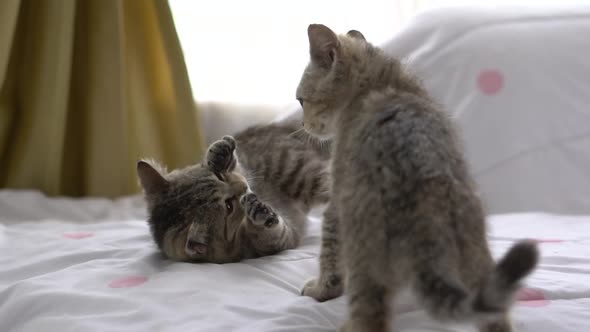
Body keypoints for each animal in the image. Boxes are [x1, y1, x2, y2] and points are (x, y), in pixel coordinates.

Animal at [139, 118, 332, 264]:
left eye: (219, 176)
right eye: (229, 207)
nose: (245, 188)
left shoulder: (242, 171)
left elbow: (235, 165)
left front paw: (218, 154)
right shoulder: (277, 241)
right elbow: (272, 234)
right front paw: (261, 213)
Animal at [296, 24, 540, 332]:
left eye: (301, 100)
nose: (302, 124)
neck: (383, 83)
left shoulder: (337, 199)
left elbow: (328, 253)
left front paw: (320, 289)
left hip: (365, 258)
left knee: (371, 319)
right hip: (478, 256)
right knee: (495, 311)